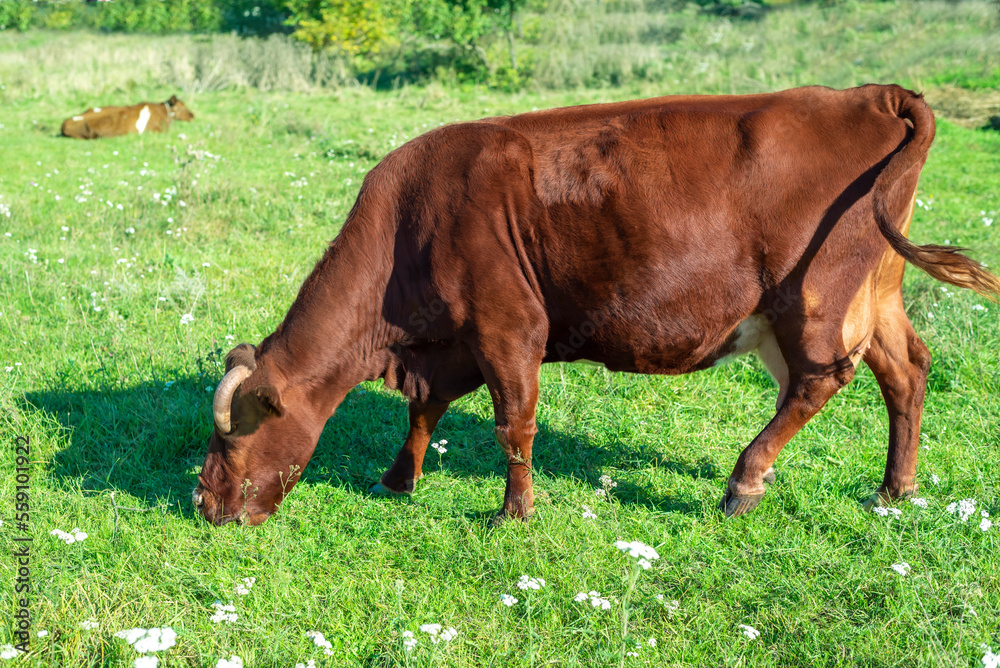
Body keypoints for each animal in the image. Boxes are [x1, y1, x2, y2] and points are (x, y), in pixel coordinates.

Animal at [193, 84, 1000, 528]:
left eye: (230, 443)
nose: (203, 503)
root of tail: (869, 94)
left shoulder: (510, 324)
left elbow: (513, 423)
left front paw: (513, 512)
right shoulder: (453, 341)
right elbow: (426, 409)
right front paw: (399, 480)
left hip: (812, 297)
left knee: (821, 379)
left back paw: (744, 482)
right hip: (875, 289)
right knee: (906, 370)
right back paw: (895, 489)